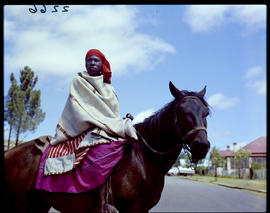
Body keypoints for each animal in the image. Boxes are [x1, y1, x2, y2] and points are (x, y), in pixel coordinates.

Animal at [4, 80, 211, 212]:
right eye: (182, 111)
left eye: (206, 112)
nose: (202, 145)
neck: (144, 159)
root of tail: (9, 153)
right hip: (19, 204)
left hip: (38, 203)